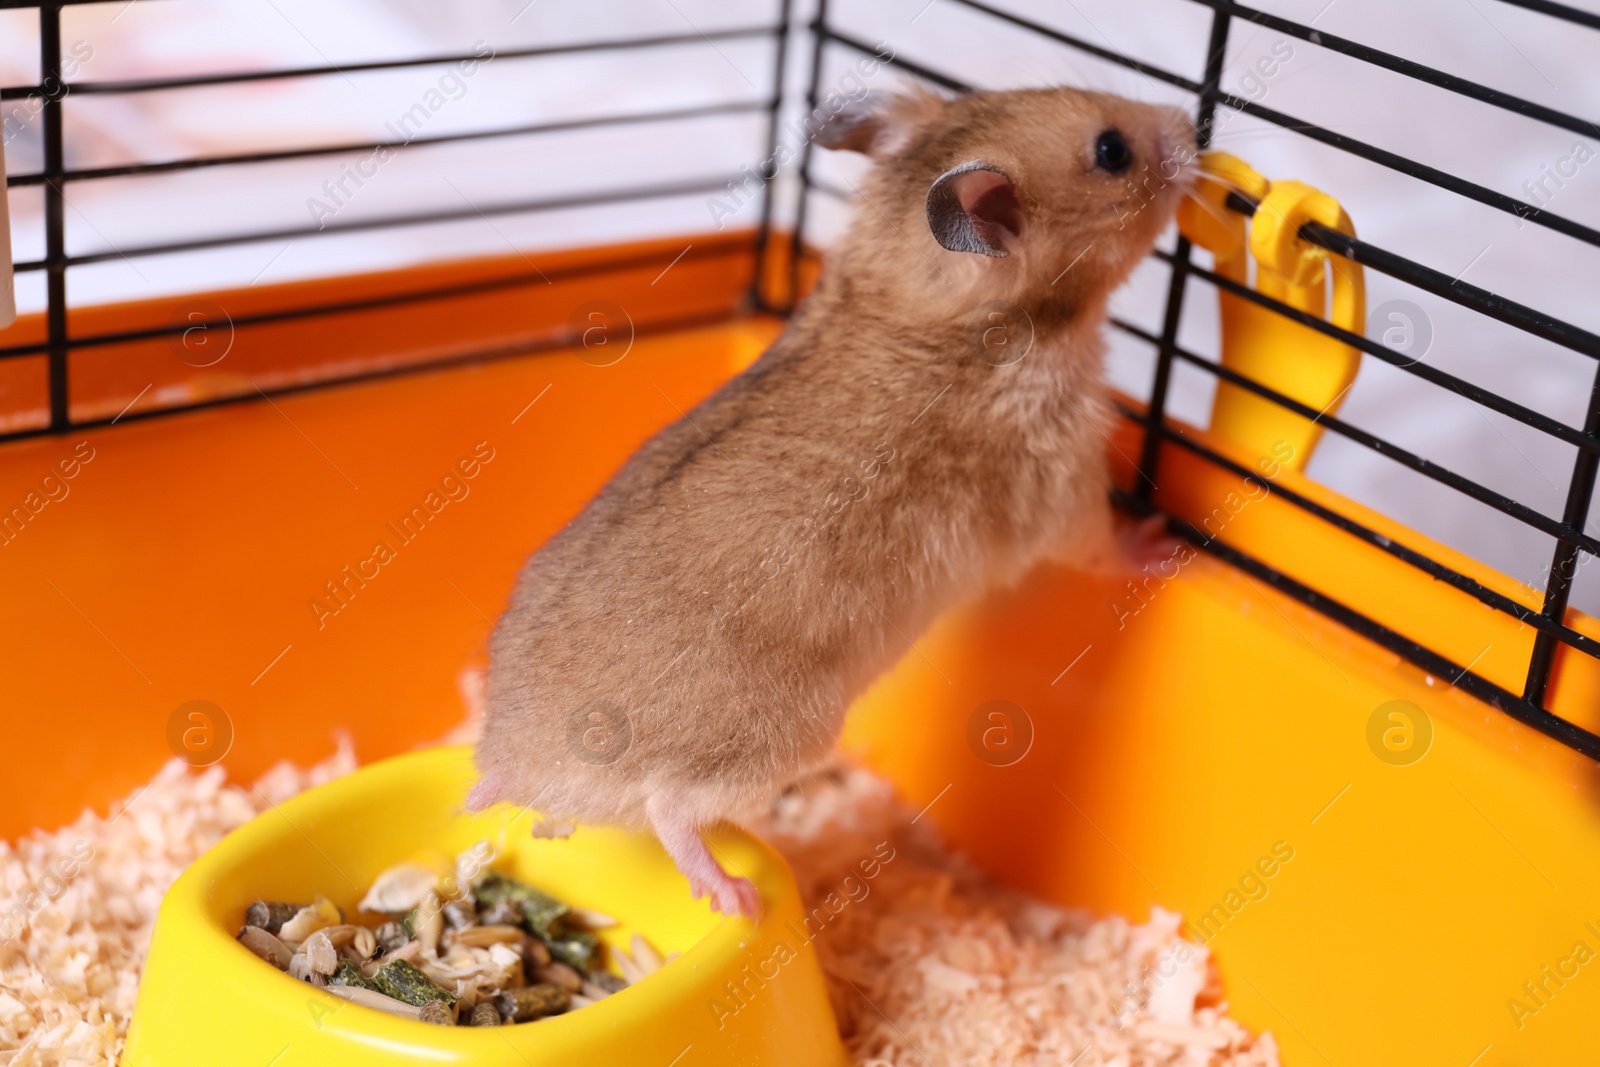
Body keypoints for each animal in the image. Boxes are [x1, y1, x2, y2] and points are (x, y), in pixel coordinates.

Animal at [467, 85, 1196, 921]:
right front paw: (1164, 543)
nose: (1191, 122)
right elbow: (1101, 541)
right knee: (669, 805)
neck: (915, 284)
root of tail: (511, 755)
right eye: (1112, 151)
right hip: (781, 731)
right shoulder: (1060, 477)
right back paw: (734, 896)